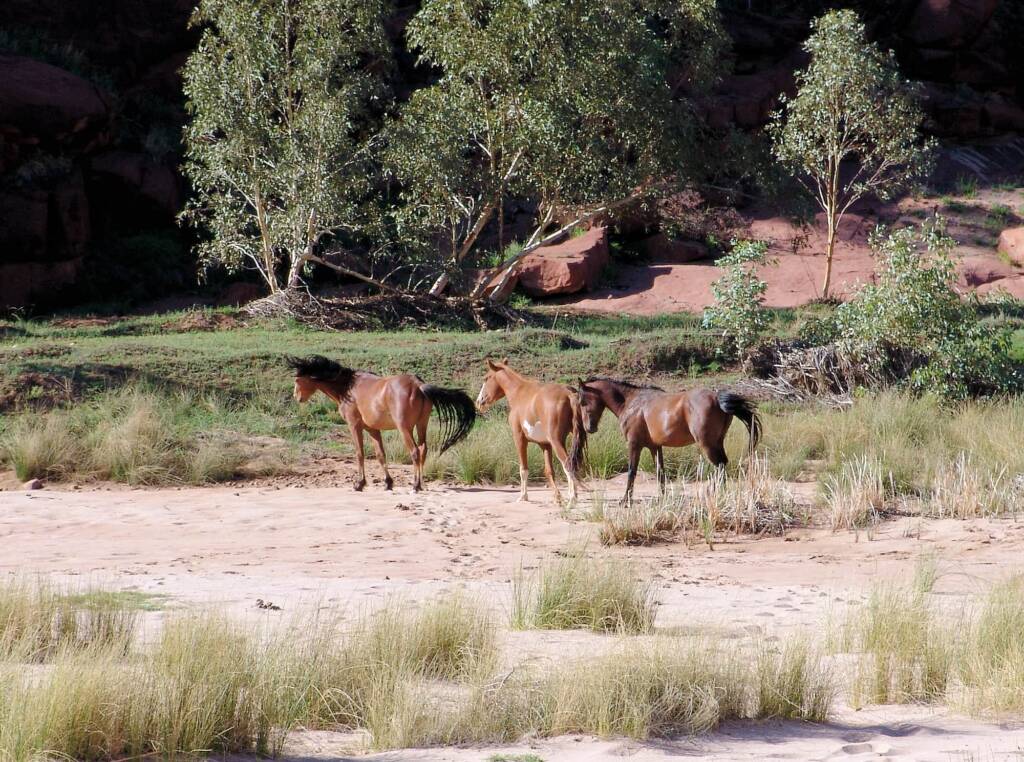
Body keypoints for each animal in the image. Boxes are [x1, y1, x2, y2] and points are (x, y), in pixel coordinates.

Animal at [287, 355, 476, 492]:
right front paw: (388, 483)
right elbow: (380, 455)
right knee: (423, 450)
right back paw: (421, 484)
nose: (297, 397)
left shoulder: (354, 426)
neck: (347, 388)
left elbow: (359, 453)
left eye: (297, 380)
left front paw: (359, 484)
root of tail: (418, 385)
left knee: (414, 452)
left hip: (405, 428)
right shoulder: (373, 430)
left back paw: (415, 485)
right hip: (422, 425)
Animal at [475, 358, 587, 505]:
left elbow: (523, 469)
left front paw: (523, 496)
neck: (519, 393)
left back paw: (572, 498)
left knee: (568, 465)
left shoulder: (519, 439)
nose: (479, 402)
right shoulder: (545, 444)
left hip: (557, 442)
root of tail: (568, 394)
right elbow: (549, 471)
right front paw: (557, 497)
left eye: (486, 378)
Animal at [576, 377, 761, 504]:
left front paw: (625, 500)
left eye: (582, 401)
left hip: (707, 444)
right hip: (717, 442)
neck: (631, 402)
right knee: (723, 464)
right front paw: (663, 498)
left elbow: (631, 471)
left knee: (720, 465)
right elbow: (660, 472)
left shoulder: (634, 445)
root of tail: (716, 397)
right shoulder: (655, 447)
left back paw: (716, 495)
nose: (590, 428)